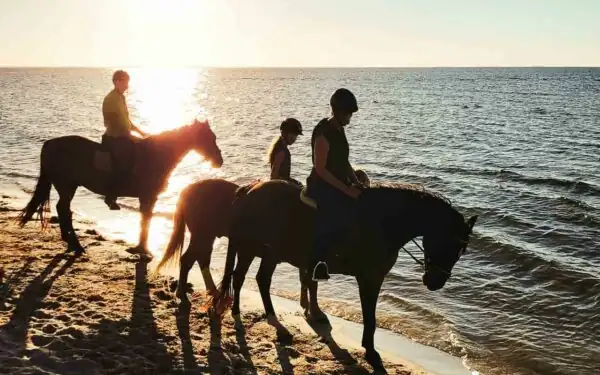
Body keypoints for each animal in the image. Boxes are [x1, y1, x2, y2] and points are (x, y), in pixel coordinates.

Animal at [17, 120, 223, 258]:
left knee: (62, 209)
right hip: (66, 185)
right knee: (64, 210)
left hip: (68, 186)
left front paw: (141, 248)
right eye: (210, 137)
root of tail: (50, 143)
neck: (156, 155)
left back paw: (69, 241)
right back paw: (76, 245)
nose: (219, 161)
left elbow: (145, 219)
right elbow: (146, 220)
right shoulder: (148, 197)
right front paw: (142, 249)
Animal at [155, 170, 370, 306]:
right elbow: (309, 281)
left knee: (200, 259)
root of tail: (187, 190)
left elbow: (307, 280)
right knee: (189, 259)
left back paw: (210, 291)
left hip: (207, 237)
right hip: (203, 235)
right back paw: (183, 293)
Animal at [211, 181, 478, 374]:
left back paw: (265, 320)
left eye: (462, 250)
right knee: (244, 278)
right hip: (251, 247)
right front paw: (371, 352)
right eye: (454, 245)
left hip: (269, 252)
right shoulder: (369, 278)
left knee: (256, 279)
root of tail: (249, 190)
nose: (435, 282)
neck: (384, 223)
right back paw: (246, 317)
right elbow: (370, 317)